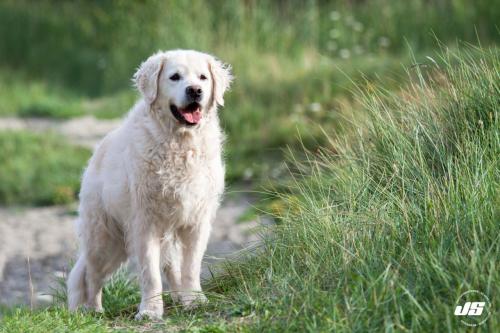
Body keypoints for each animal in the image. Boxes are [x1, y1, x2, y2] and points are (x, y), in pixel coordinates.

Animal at [67, 49, 233, 320]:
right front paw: (150, 311)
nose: (195, 91)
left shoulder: (196, 222)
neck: (179, 143)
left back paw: (179, 297)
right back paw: (93, 310)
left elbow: (190, 267)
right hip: (105, 238)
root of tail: (98, 151)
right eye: (175, 77)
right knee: (89, 274)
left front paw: (195, 301)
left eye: (203, 77)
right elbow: (151, 275)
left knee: (170, 268)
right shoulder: (145, 225)